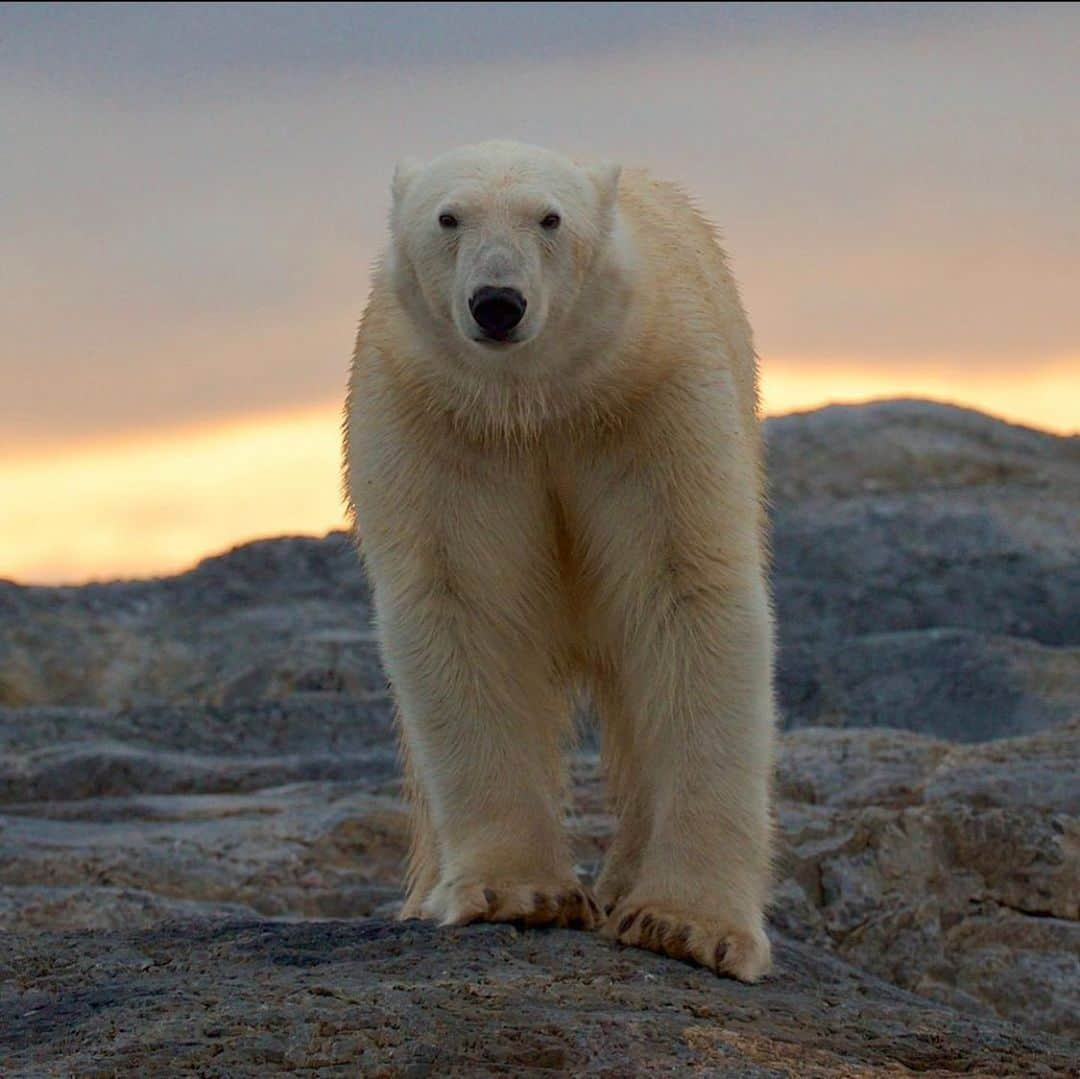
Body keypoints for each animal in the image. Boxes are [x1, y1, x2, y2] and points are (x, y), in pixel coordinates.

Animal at [345, 139, 777, 985]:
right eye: (449, 218)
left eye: (549, 219)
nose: (497, 302)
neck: (536, 402)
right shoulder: (440, 423)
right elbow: (464, 601)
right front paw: (520, 892)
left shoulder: (651, 401)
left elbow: (687, 592)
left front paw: (688, 925)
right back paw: (426, 893)